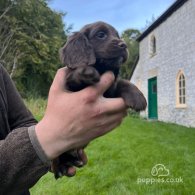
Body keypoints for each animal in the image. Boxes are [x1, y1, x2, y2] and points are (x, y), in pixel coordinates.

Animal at [51, 21, 146, 178]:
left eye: (117, 35)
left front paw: (138, 97)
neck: (102, 68)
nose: (124, 45)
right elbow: (75, 75)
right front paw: (86, 71)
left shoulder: (111, 91)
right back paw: (59, 168)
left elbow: (123, 82)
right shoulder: (69, 85)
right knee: (54, 160)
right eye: (101, 35)